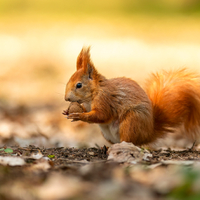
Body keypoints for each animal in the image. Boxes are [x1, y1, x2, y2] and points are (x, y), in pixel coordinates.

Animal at [63, 47, 200, 145]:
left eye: (79, 85)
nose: (66, 99)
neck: (93, 94)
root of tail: (148, 134)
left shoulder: (105, 99)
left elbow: (102, 115)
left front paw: (79, 115)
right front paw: (67, 112)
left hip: (131, 122)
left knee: (130, 141)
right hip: (108, 134)